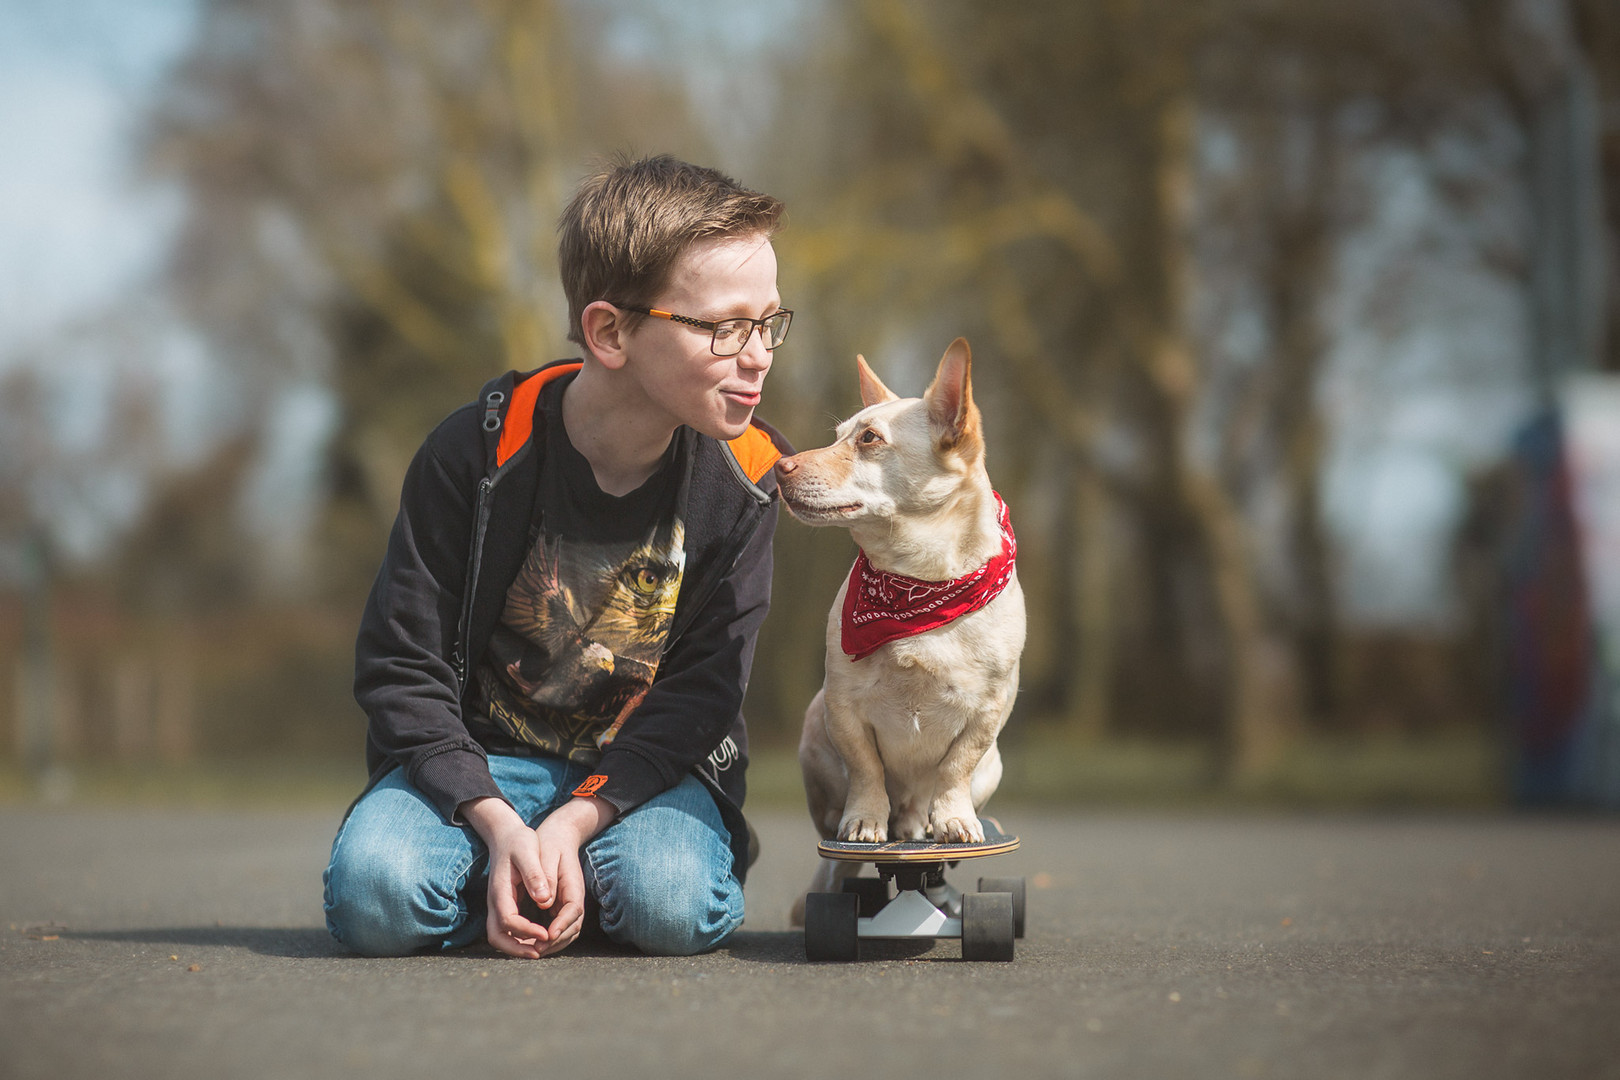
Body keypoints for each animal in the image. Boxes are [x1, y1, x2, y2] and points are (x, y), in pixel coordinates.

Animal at [774, 338, 1023, 913]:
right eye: (838, 434)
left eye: (869, 439)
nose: (779, 466)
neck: (918, 586)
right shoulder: (842, 706)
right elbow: (866, 768)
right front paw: (865, 821)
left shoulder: (989, 713)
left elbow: (956, 766)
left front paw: (953, 820)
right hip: (815, 734)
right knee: (847, 836)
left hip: (993, 766)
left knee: (924, 807)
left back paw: (925, 828)